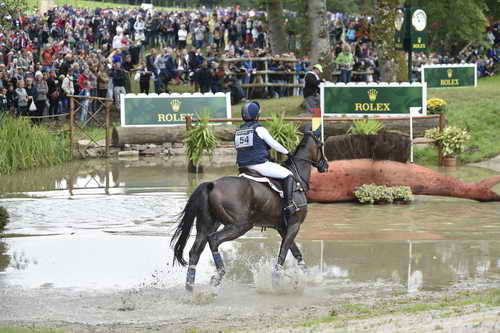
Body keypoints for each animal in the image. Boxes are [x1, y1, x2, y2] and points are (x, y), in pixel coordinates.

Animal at [170, 128, 330, 290]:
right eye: (321, 145)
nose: (326, 165)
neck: (297, 178)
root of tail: (212, 185)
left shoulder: (282, 227)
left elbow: (296, 253)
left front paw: (308, 277)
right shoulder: (294, 225)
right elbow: (283, 253)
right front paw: (276, 279)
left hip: (207, 225)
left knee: (195, 252)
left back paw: (190, 287)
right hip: (240, 225)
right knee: (214, 240)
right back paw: (218, 275)